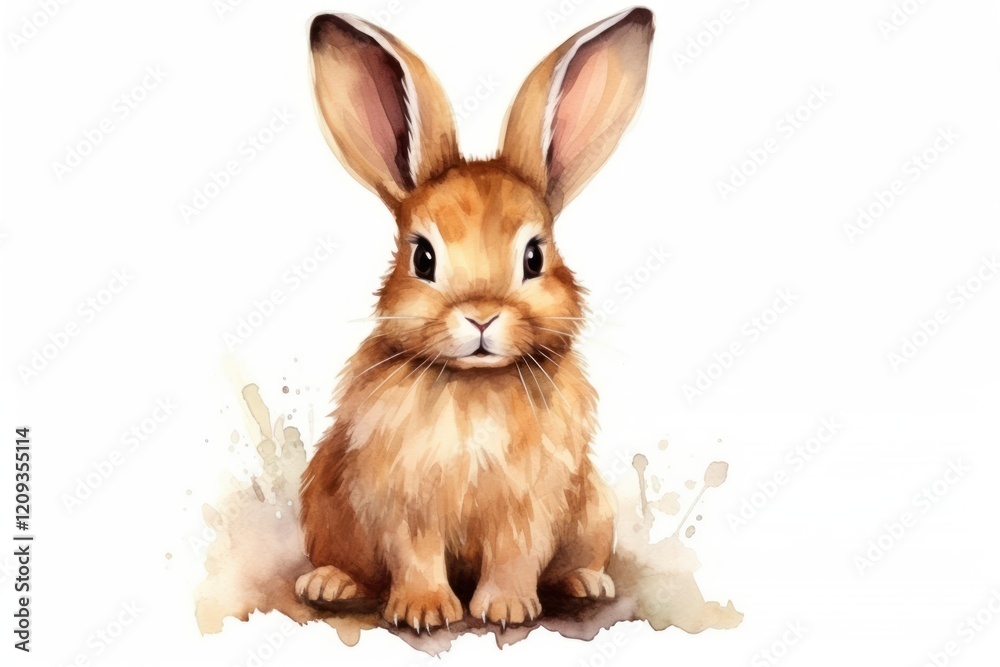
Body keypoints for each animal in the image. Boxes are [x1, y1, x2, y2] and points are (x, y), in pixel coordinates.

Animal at [296, 7, 654, 632]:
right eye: (423, 257)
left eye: (534, 257)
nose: (482, 317)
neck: (476, 384)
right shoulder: (403, 501)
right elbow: (415, 553)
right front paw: (423, 611)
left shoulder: (531, 504)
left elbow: (515, 553)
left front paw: (506, 609)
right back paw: (328, 583)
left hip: (592, 512)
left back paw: (587, 581)